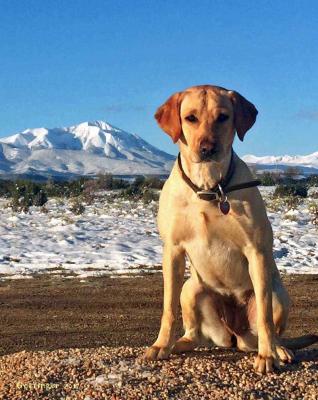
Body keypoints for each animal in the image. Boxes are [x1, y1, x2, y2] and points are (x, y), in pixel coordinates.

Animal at [143, 83, 318, 374]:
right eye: (190, 118)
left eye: (223, 117)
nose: (207, 148)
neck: (209, 188)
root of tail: (234, 335)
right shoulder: (173, 251)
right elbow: (168, 308)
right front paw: (161, 345)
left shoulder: (256, 251)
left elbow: (265, 318)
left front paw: (267, 356)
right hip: (192, 289)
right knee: (194, 334)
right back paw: (179, 344)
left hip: (278, 294)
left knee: (270, 328)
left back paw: (279, 350)